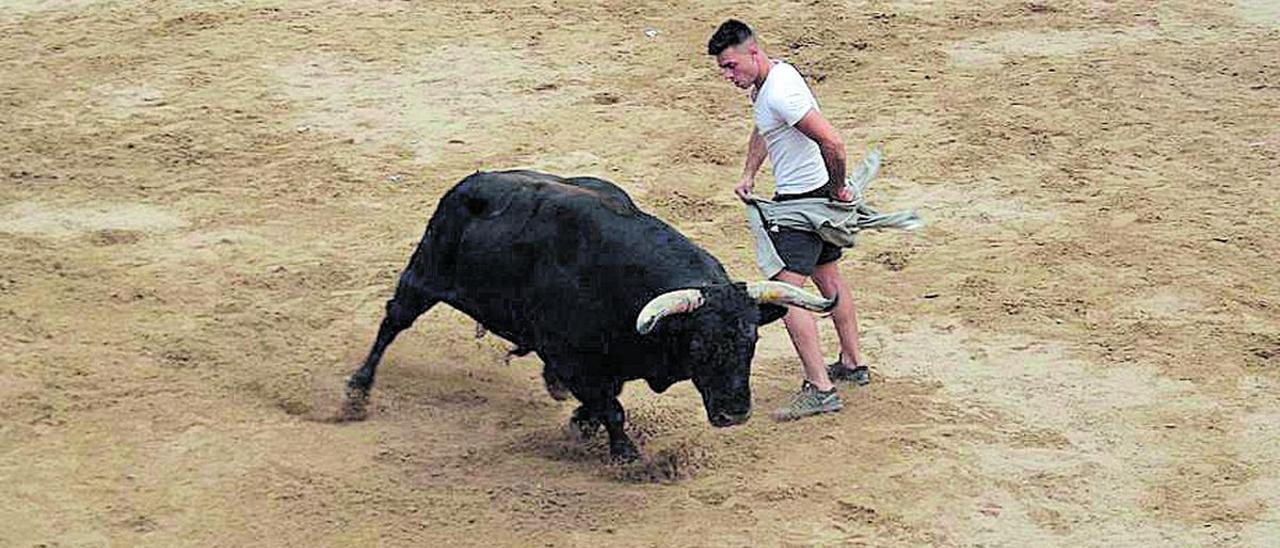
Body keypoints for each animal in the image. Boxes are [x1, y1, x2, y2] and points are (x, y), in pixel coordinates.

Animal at [345, 169, 834, 460]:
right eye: (697, 345)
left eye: (752, 340)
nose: (735, 413)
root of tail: (467, 184)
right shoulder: (572, 359)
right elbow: (611, 409)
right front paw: (625, 455)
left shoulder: (606, 365)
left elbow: (601, 403)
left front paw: (580, 423)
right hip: (424, 273)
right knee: (392, 322)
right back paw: (356, 394)